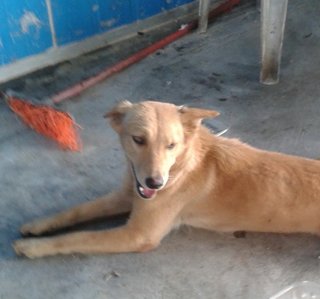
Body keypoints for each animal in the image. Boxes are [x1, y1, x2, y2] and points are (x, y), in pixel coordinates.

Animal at [13, 99, 320, 258]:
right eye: (138, 140)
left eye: (171, 145)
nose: (155, 184)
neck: (181, 165)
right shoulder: (127, 195)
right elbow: (78, 210)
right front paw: (38, 225)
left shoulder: (138, 235)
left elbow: (79, 237)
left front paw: (33, 247)